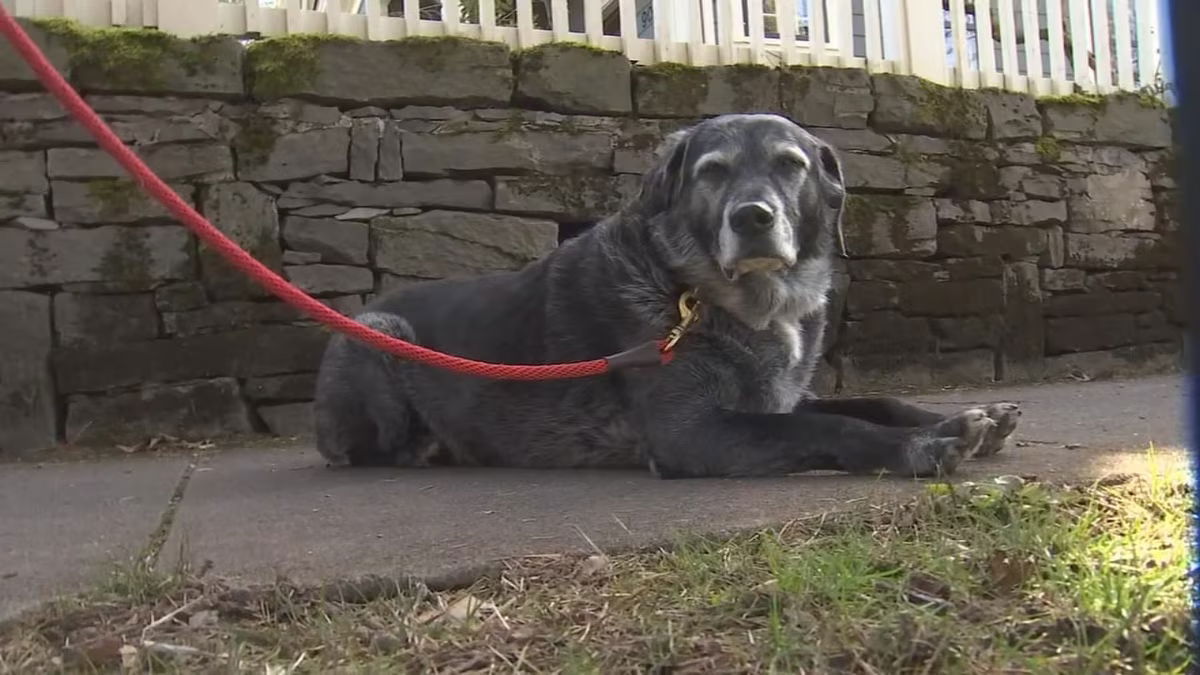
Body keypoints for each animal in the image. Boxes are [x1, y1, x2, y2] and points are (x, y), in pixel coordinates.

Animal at [312, 112, 1022, 475]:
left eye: (791, 164)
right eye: (712, 173)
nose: (752, 217)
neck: (702, 292)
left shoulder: (781, 394)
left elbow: (878, 401)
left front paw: (970, 418)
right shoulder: (692, 434)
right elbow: (830, 426)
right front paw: (922, 446)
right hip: (378, 338)